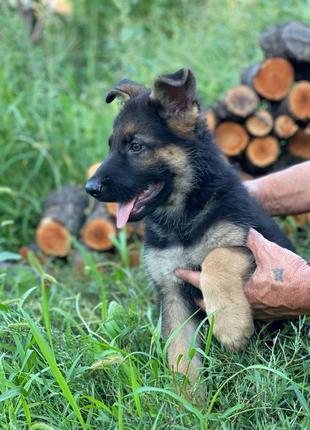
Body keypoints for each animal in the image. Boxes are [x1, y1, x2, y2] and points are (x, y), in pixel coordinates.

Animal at [86, 69, 294, 380]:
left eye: (136, 146)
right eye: (110, 146)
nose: (90, 188)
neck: (181, 218)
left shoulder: (254, 244)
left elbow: (216, 257)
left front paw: (230, 325)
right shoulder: (172, 294)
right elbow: (181, 357)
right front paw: (188, 394)